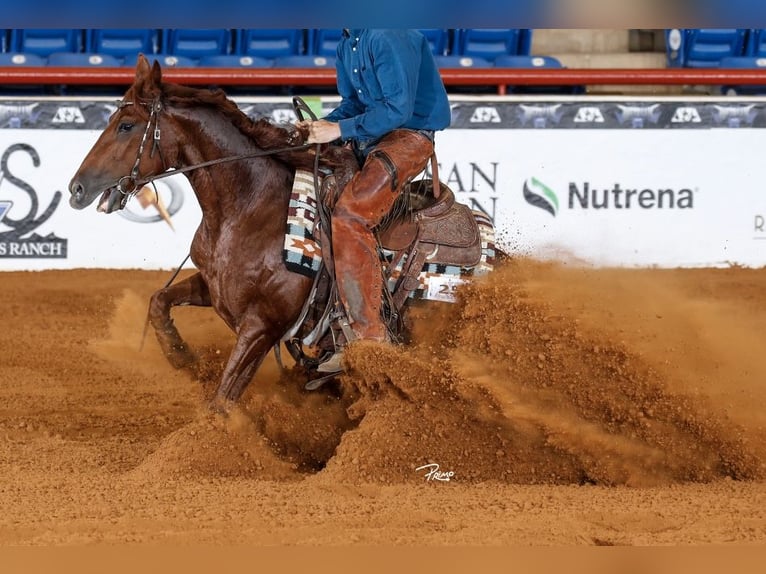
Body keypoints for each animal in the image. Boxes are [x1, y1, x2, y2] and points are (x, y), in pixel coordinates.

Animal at [68, 55, 494, 409]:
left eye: (126, 125)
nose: (76, 189)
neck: (248, 206)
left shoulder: (262, 326)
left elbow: (221, 400)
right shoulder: (217, 289)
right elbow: (159, 300)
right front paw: (181, 357)